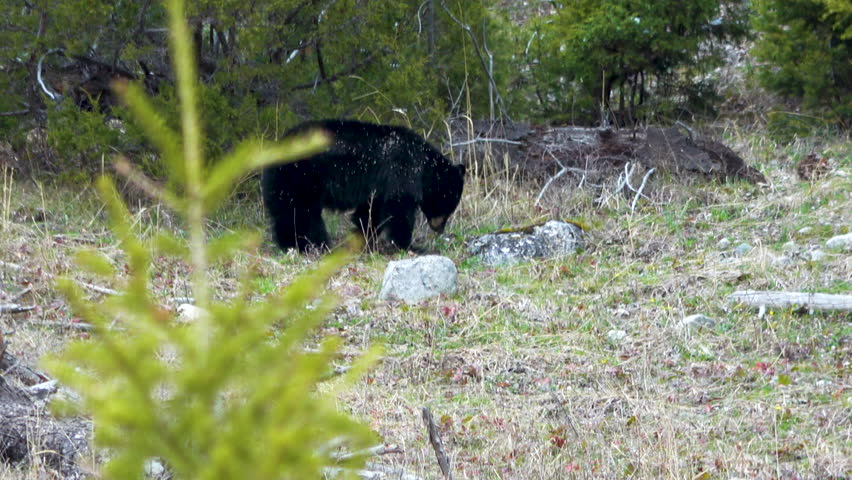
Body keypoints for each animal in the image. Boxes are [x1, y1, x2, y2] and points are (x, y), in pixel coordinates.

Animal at [261, 119, 466, 253]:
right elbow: (399, 209)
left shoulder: (378, 187)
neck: (424, 165)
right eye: (449, 205)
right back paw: (303, 244)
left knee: (295, 213)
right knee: (298, 212)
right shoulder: (401, 171)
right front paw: (411, 246)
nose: (439, 229)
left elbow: (370, 212)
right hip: (300, 177)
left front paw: (365, 239)